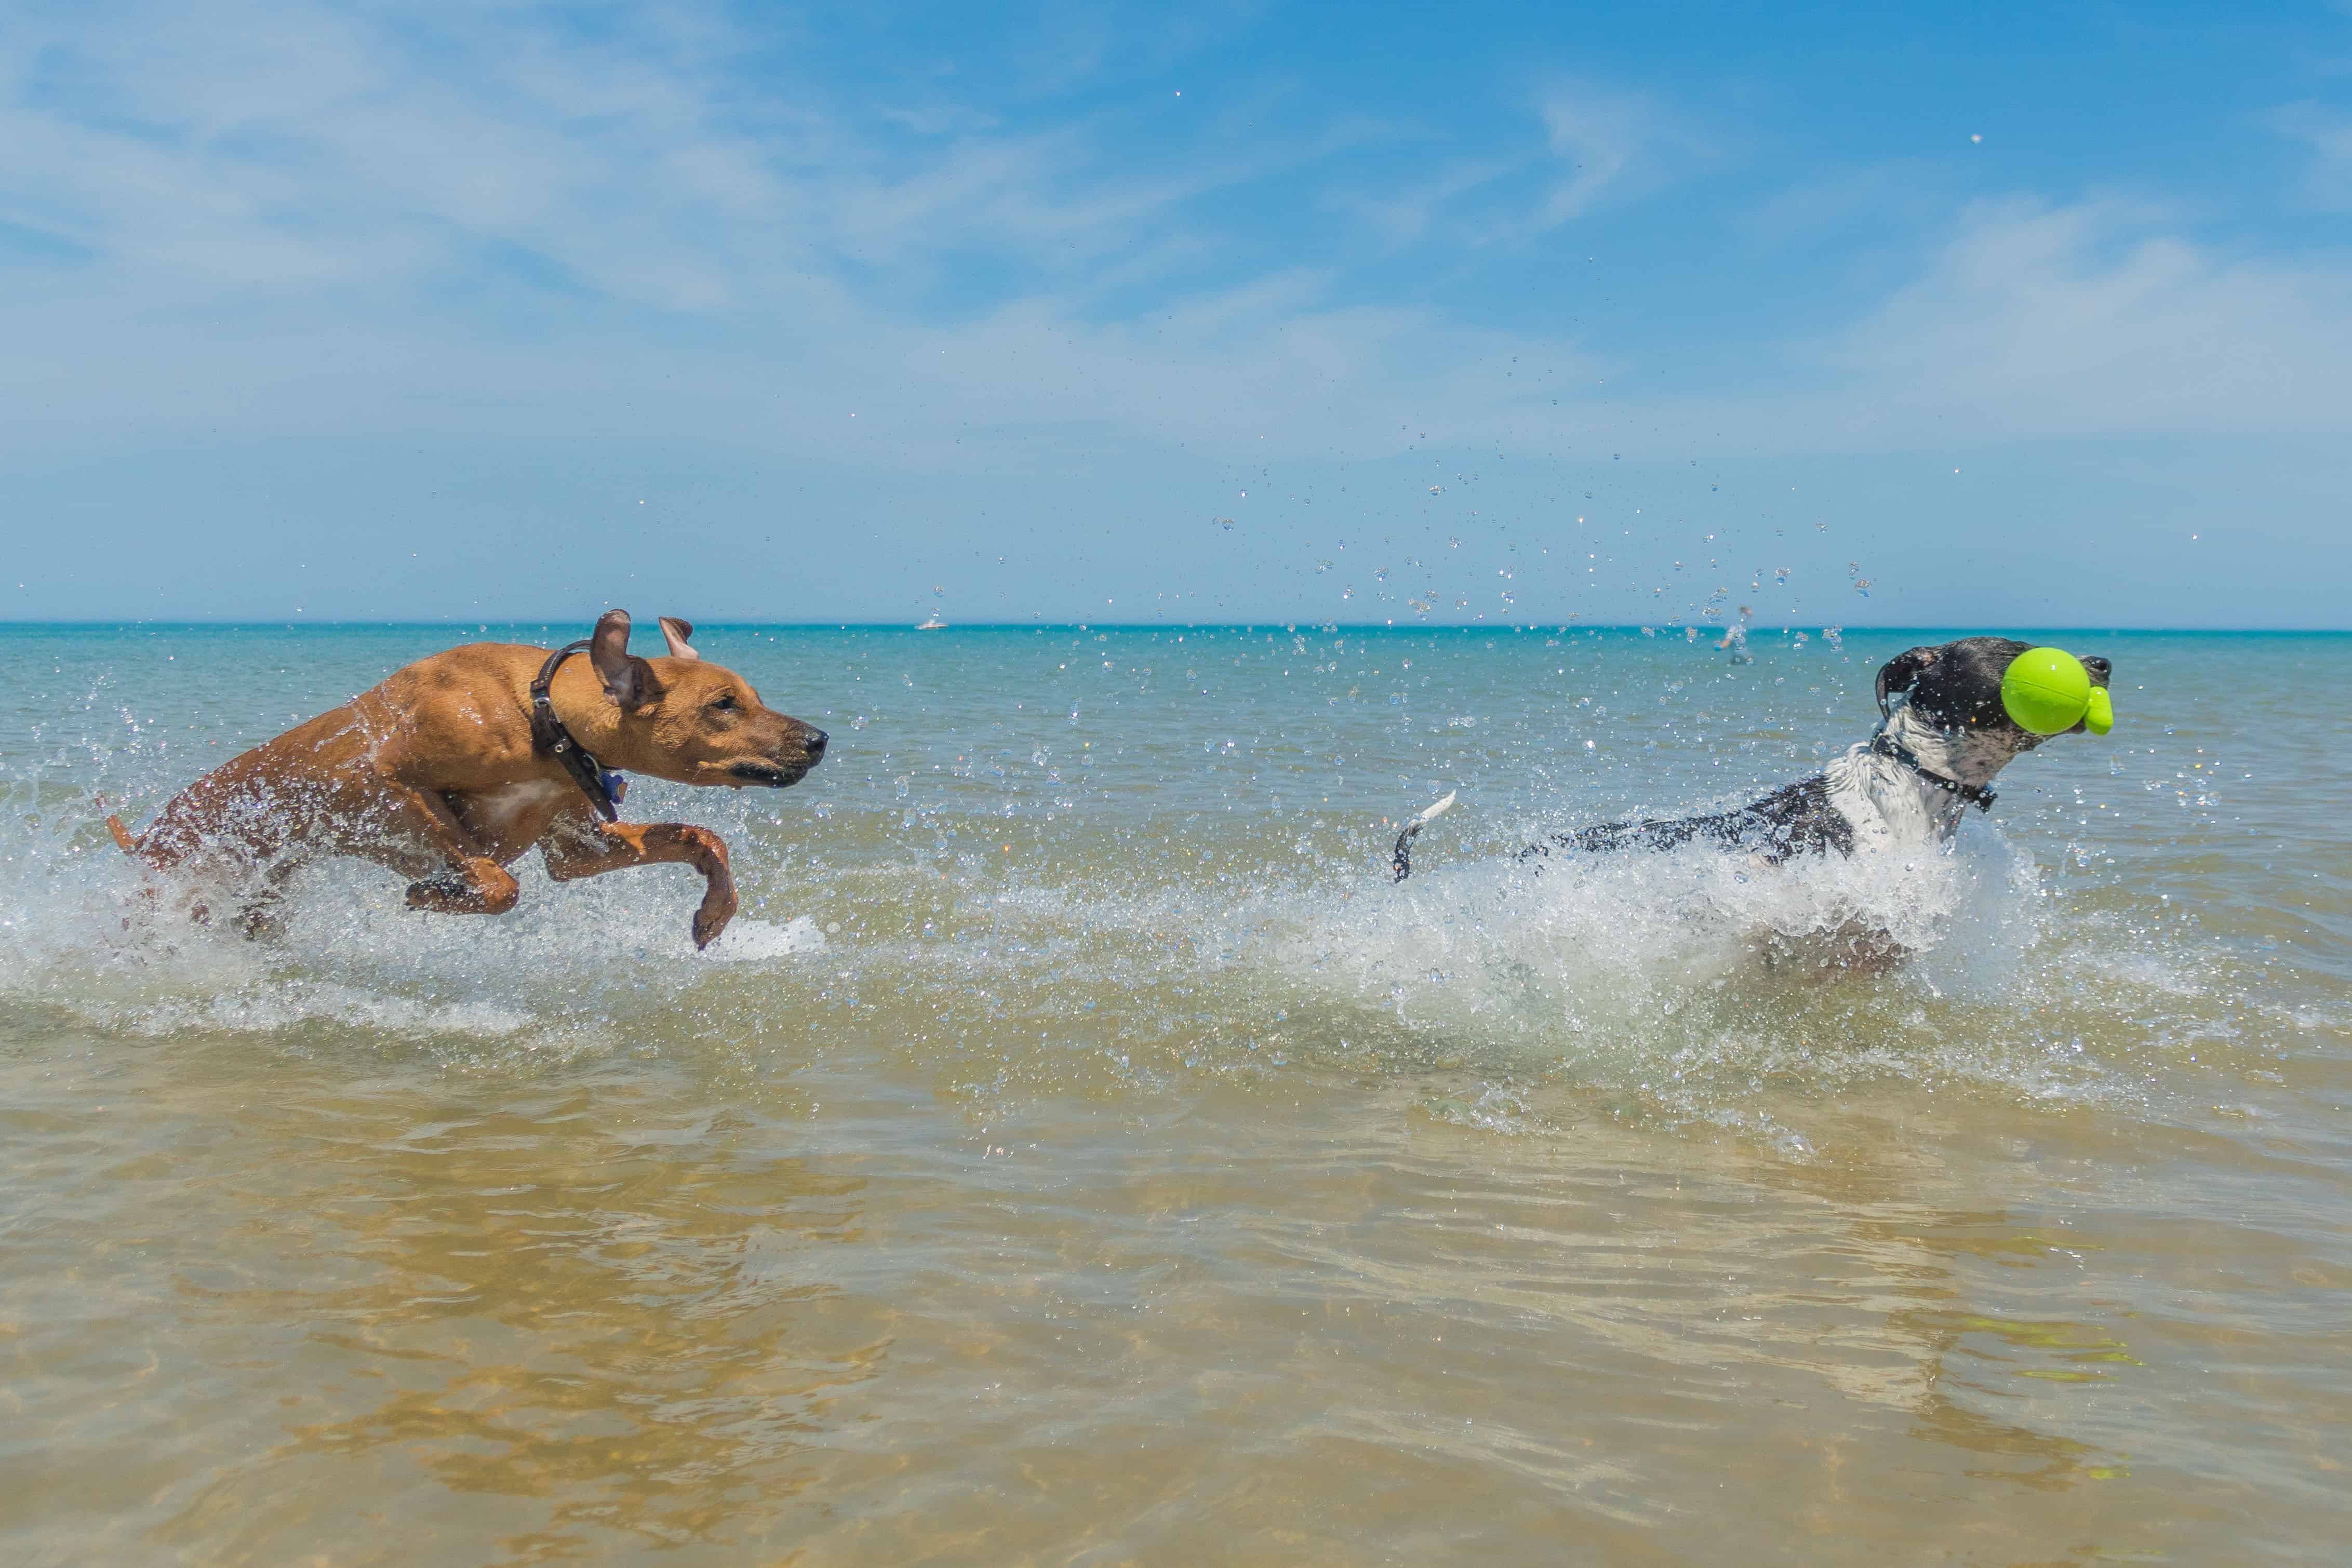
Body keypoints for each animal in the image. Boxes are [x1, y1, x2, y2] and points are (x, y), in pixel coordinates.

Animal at [108, 611, 827, 949]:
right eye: (723, 705)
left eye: (753, 697)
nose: (819, 740)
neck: (542, 718)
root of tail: (146, 834)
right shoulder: (392, 782)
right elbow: (497, 880)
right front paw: (433, 893)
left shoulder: (578, 845)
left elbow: (704, 838)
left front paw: (716, 912)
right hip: (183, 881)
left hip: (260, 897)